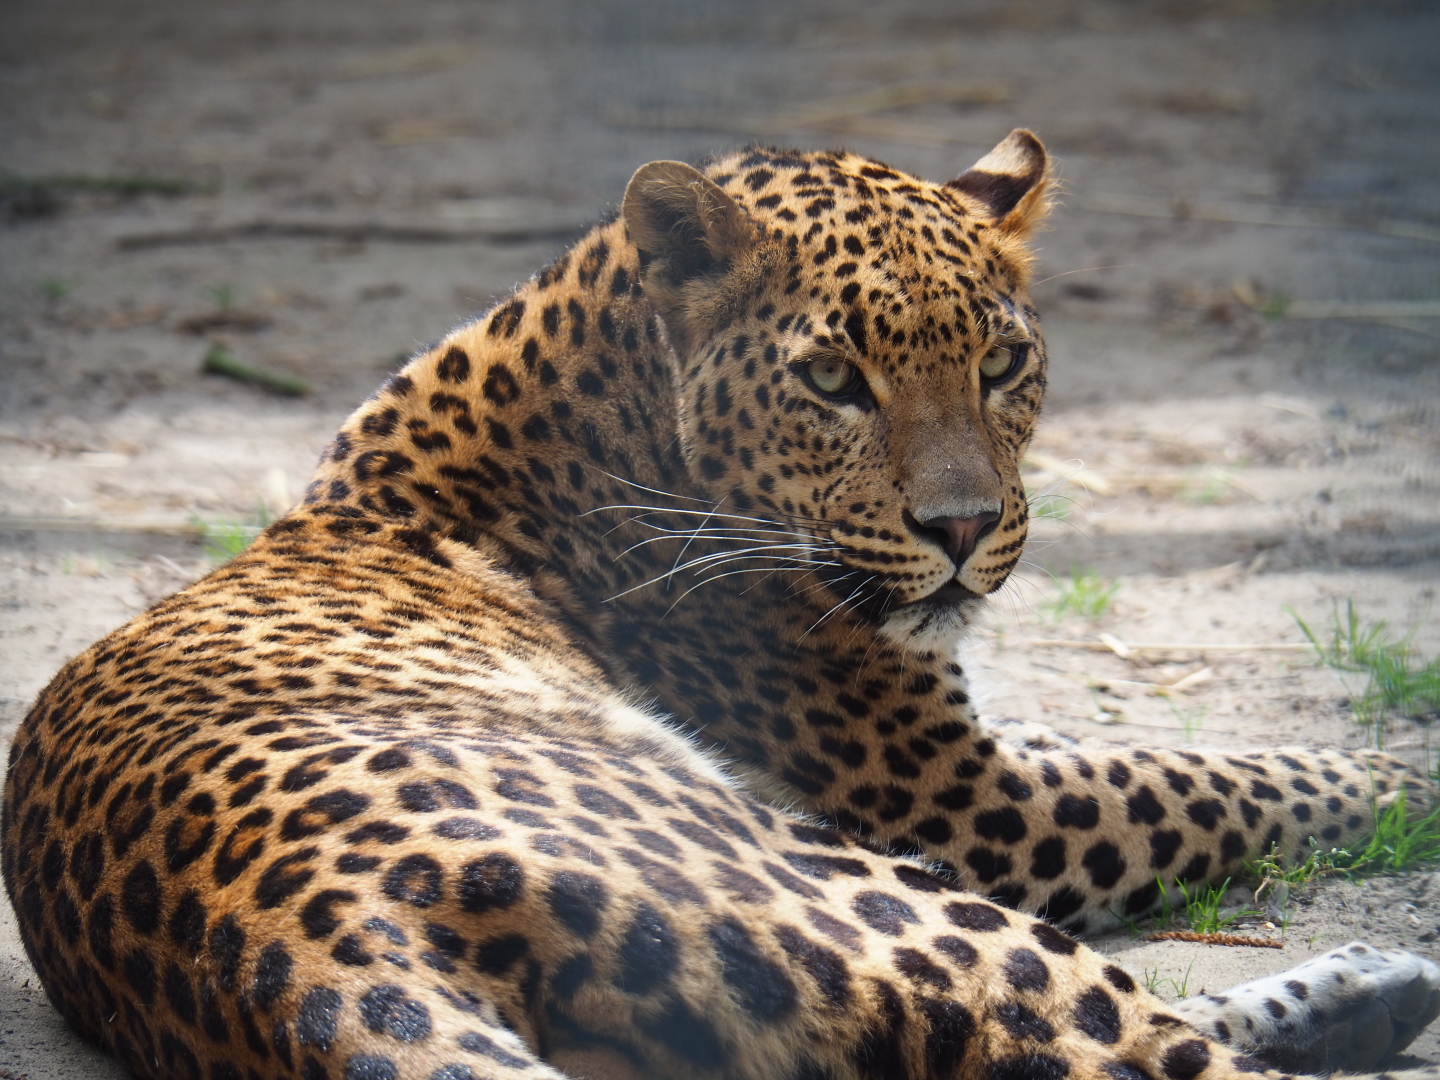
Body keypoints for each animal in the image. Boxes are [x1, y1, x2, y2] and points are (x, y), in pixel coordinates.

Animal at [4, 129, 1438, 1080]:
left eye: (1001, 363)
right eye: (836, 378)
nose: (964, 530)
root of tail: (302, 950)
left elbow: (1184, 755)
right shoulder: (970, 800)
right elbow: (1222, 778)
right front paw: (1402, 780)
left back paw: (1373, 993)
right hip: (841, 878)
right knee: (1122, 1049)